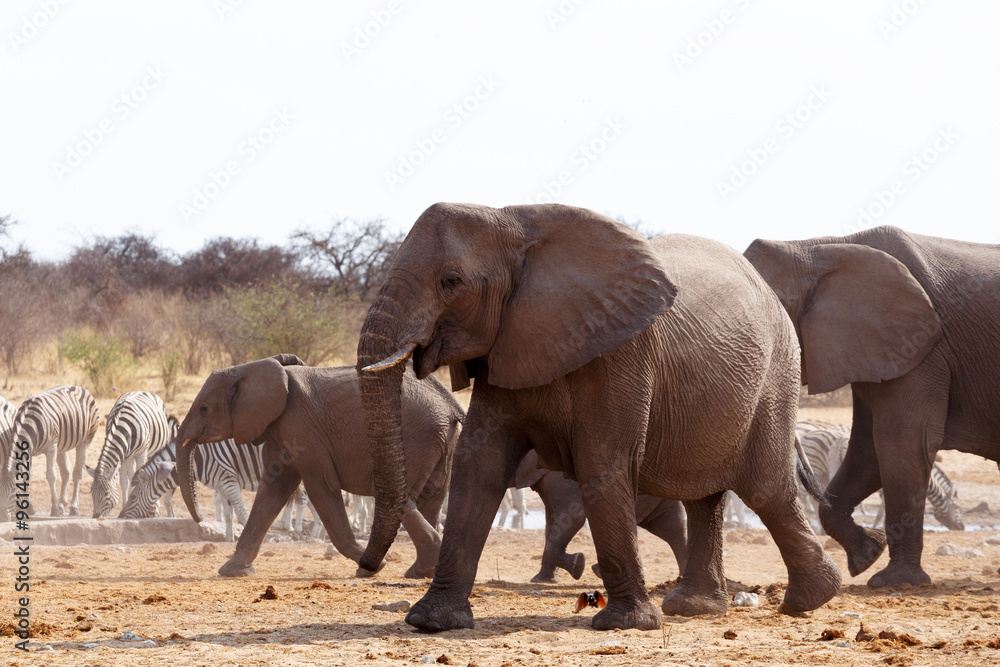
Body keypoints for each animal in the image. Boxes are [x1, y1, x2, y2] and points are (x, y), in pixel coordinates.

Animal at [176, 354, 464, 579]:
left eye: (203, 409)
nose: (200, 520)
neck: (249, 368)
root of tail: (449, 404)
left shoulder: (303, 429)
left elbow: (321, 488)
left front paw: (376, 566)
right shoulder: (279, 429)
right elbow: (274, 489)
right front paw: (233, 571)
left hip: (413, 438)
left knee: (394, 495)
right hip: (438, 441)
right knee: (431, 499)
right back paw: (421, 571)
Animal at [511, 450, 687, 584]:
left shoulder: (559, 477)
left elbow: (572, 518)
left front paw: (578, 565)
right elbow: (552, 523)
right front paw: (542, 580)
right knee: (672, 527)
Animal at [744, 225, 1000, 588]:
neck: (814, 250)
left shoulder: (921, 345)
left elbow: (901, 443)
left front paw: (895, 581)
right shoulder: (872, 349)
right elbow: (868, 450)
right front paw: (867, 555)